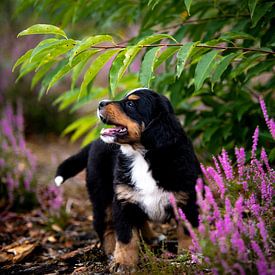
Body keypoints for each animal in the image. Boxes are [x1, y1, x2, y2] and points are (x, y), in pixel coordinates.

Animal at [55, 88, 202, 272]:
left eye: (130, 104)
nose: (101, 103)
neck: (142, 155)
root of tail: (94, 142)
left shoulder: (186, 199)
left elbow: (187, 231)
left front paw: (190, 254)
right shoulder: (123, 200)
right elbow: (126, 237)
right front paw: (122, 263)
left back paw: (151, 238)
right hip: (101, 195)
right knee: (106, 226)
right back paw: (112, 252)